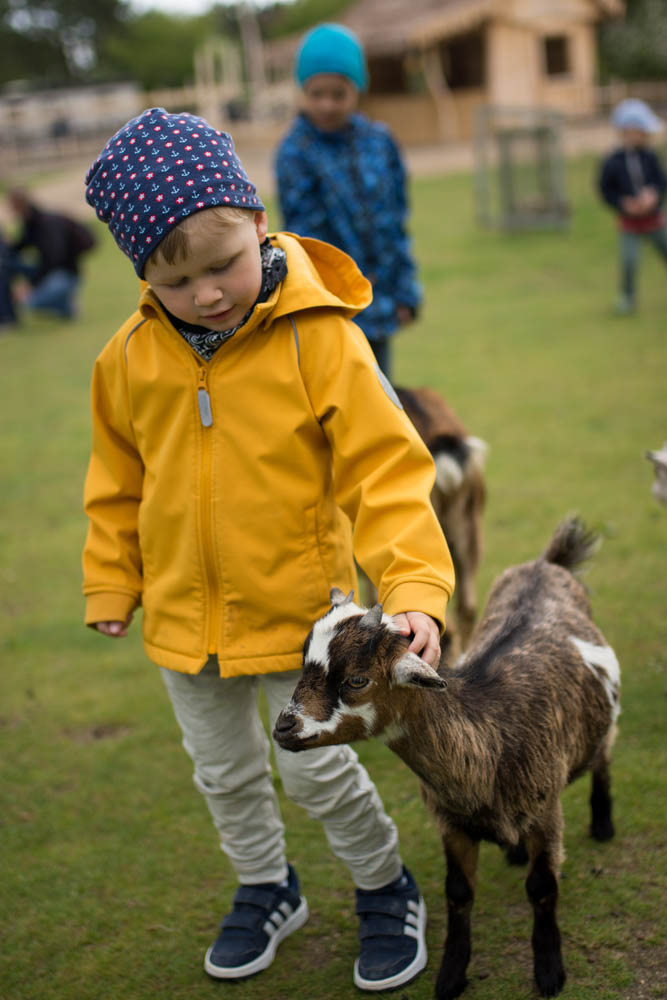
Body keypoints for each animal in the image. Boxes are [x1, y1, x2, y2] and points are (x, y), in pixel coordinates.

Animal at [274, 520, 620, 996]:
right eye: (303, 662)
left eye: (357, 680)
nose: (283, 728)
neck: (487, 738)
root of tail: (547, 563)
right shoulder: (450, 821)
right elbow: (458, 892)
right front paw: (451, 975)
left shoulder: (546, 812)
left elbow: (542, 887)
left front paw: (550, 972)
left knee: (603, 758)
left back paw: (603, 824)